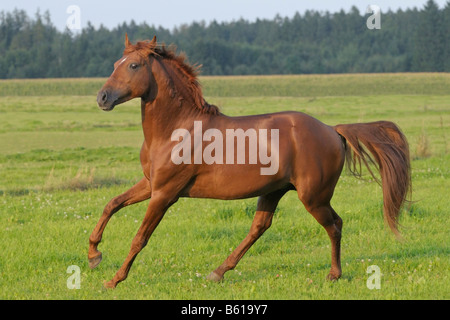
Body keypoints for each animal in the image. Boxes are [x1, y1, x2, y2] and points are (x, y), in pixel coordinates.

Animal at [88, 35, 412, 290]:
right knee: (263, 227)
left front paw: (113, 280)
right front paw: (94, 255)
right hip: (275, 191)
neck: (176, 129)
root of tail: (333, 130)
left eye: (133, 65)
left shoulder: (165, 194)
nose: (102, 98)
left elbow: (140, 237)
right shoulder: (150, 184)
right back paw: (218, 272)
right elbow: (111, 204)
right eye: (116, 63)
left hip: (312, 197)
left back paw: (333, 274)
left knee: (333, 225)